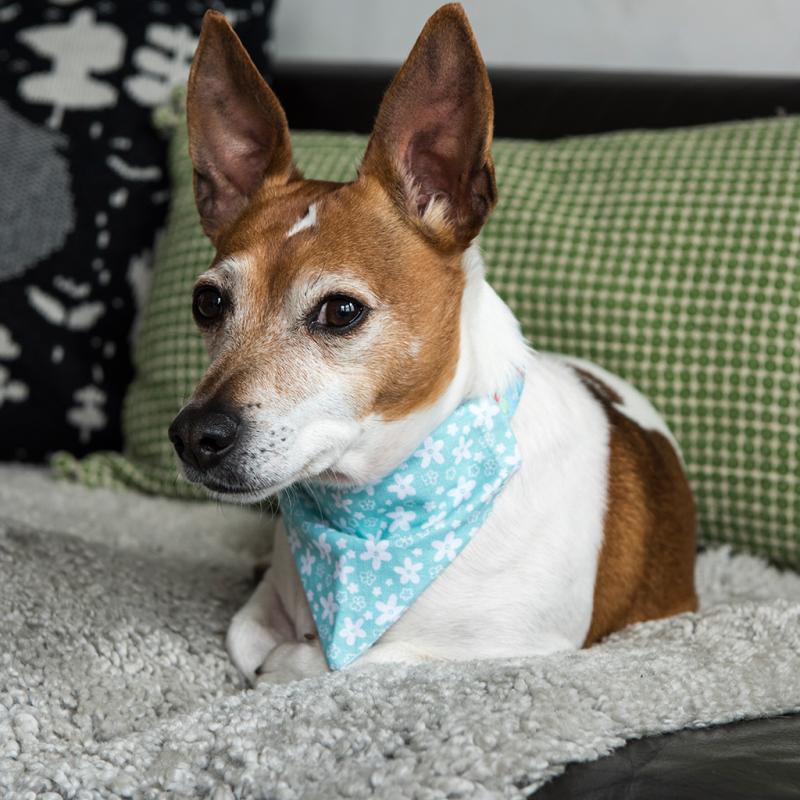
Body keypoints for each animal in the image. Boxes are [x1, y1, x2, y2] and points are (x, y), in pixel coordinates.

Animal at [170, 3, 700, 684]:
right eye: (208, 303)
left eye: (340, 311)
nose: (193, 435)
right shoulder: (259, 615)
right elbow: (250, 636)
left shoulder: (522, 648)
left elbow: (329, 663)